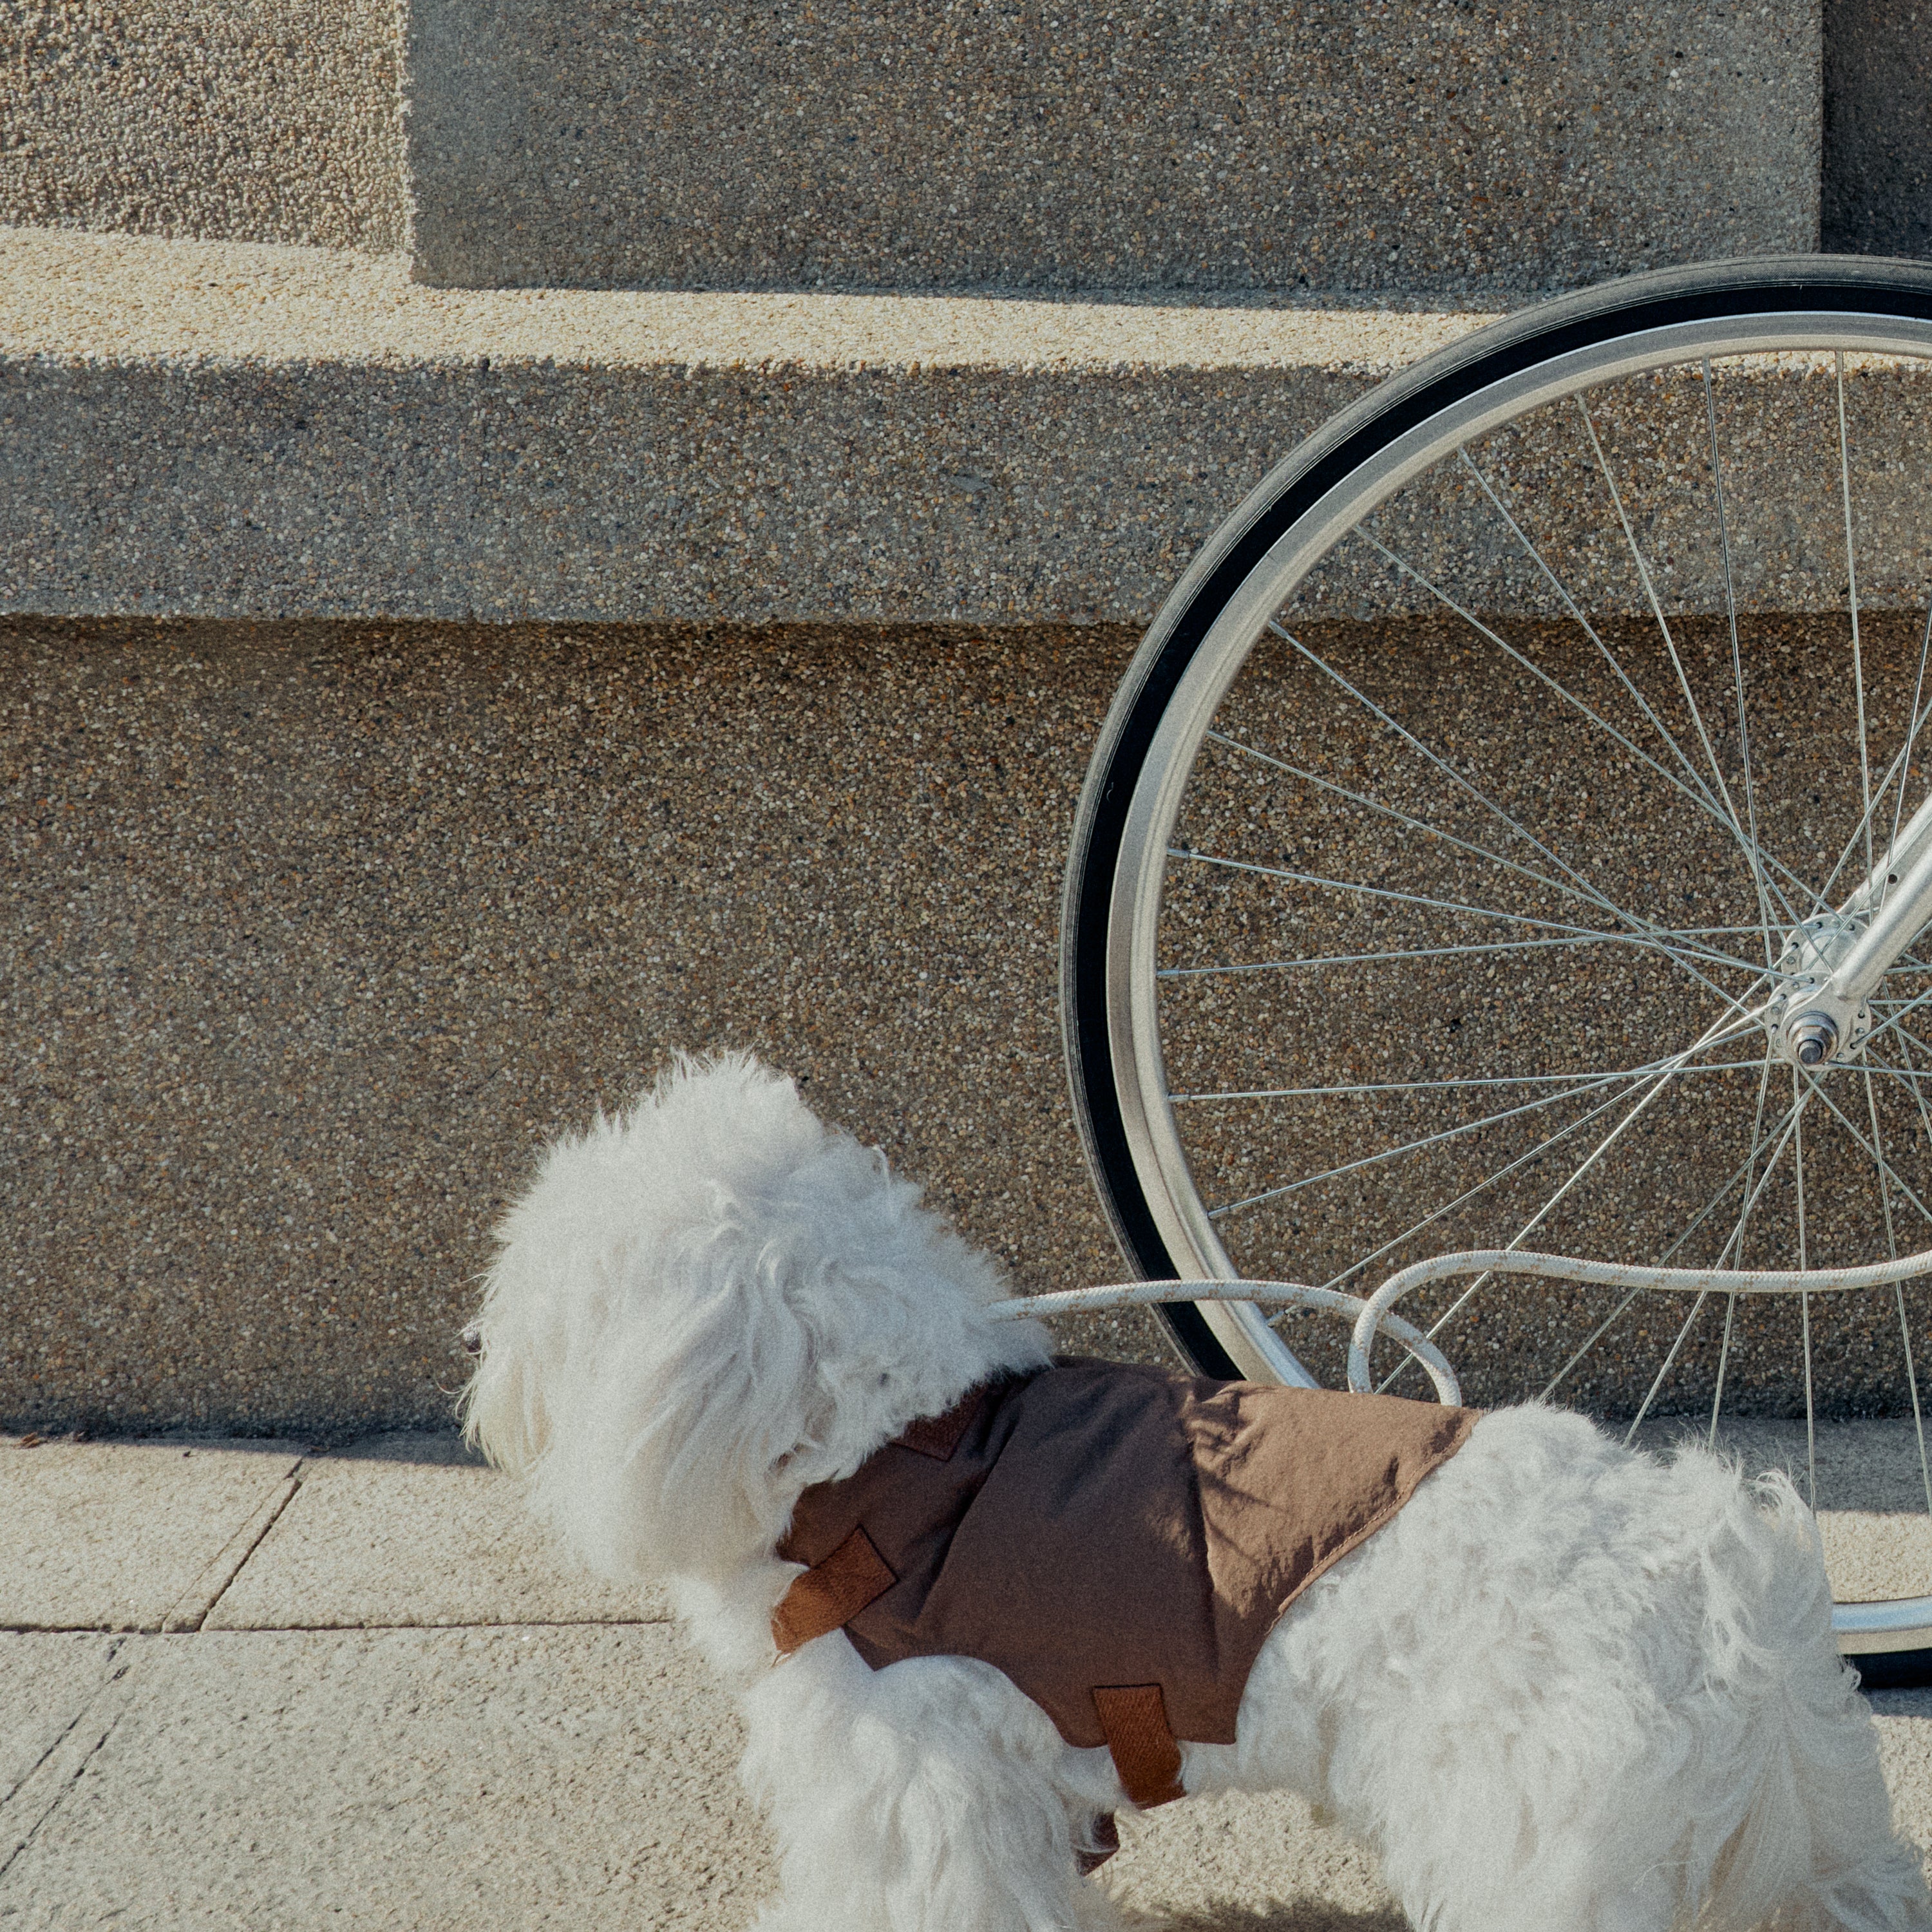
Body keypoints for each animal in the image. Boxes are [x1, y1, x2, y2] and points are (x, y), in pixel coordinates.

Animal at [460, 1059, 1924, 1932]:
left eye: (557, 1267)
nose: (482, 1347)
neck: (897, 1442)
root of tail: (1719, 1562)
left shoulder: (916, 1777)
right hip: (1798, 1833)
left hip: (1545, 1840)